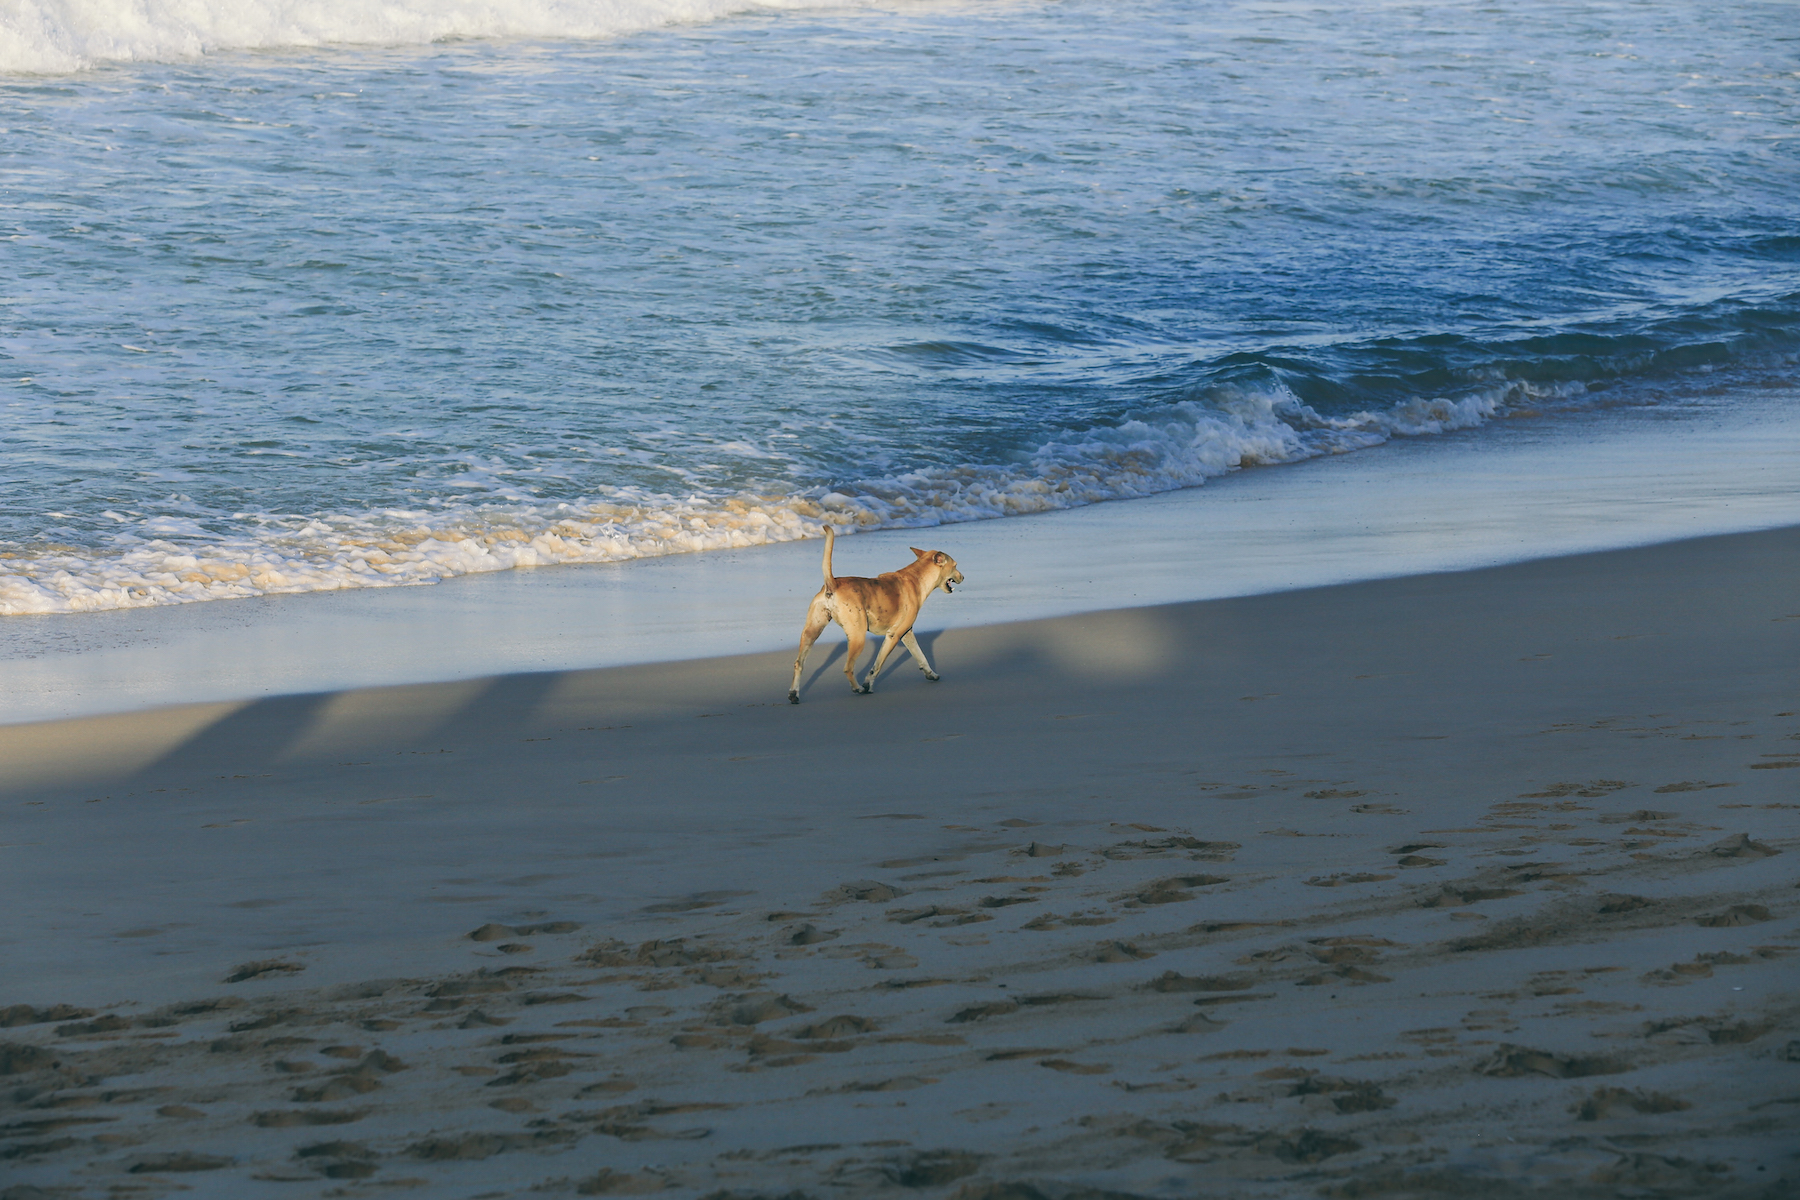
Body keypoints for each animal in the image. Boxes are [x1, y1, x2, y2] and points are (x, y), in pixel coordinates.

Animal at [784, 528, 957, 705]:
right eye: (955, 565)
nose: (962, 577)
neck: (916, 578)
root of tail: (832, 583)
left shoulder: (907, 633)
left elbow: (921, 656)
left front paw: (931, 674)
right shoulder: (893, 636)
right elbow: (877, 666)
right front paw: (868, 684)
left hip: (811, 633)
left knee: (799, 664)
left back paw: (794, 694)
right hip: (858, 636)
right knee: (848, 668)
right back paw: (858, 689)